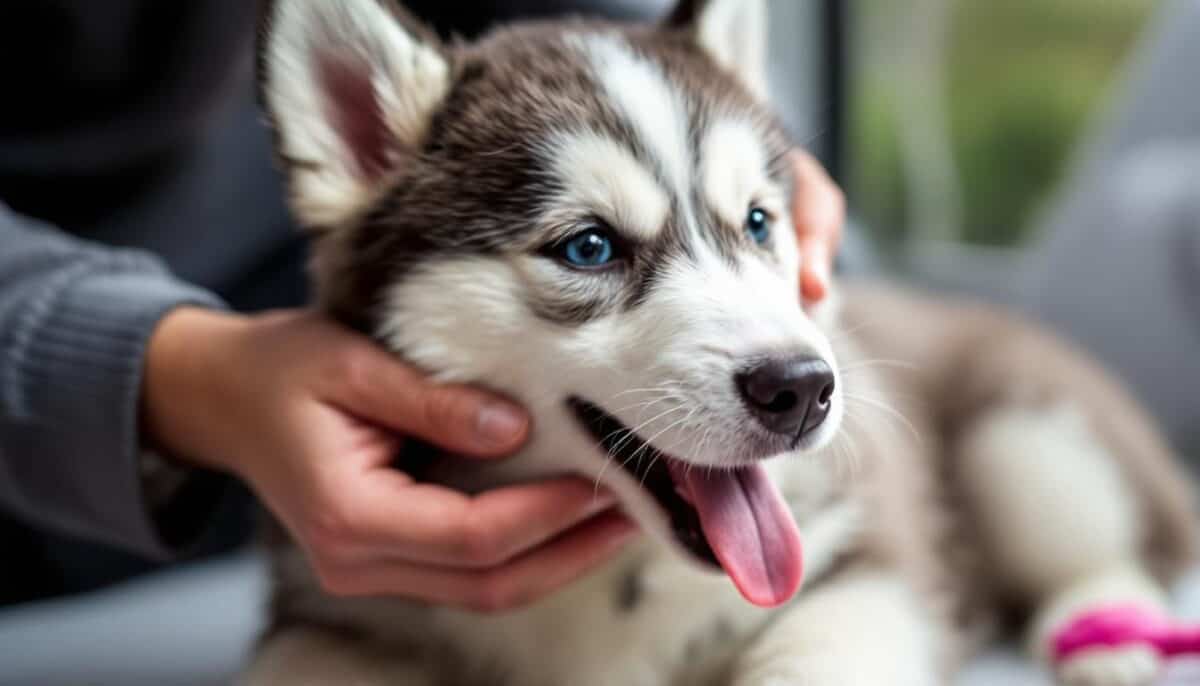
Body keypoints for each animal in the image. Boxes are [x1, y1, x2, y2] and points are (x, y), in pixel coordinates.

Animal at [246, 2, 1200, 681]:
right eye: (587, 247)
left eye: (759, 222)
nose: (804, 388)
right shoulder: (336, 610)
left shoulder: (866, 564)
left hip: (1031, 433)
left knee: (1121, 542)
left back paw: (1105, 633)